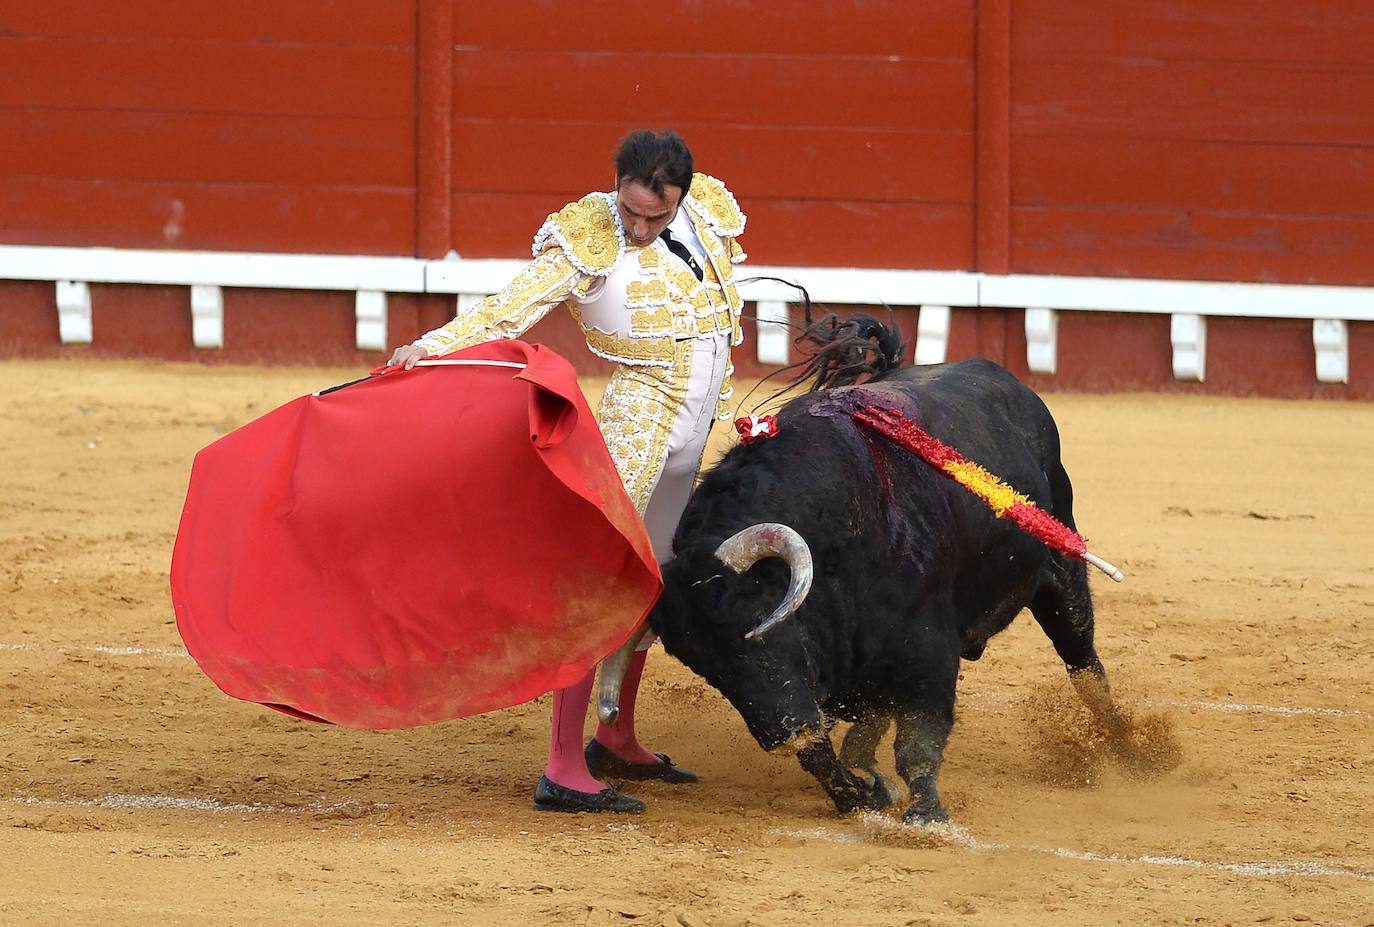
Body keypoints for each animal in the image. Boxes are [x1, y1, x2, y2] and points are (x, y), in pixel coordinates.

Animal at [643, 359, 1126, 824]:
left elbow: (917, 741)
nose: (783, 733)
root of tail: (1015, 387)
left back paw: (1130, 752)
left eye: (759, 621)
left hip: (1062, 573)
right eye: (703, 666)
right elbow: (823, 752)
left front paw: (925, 816)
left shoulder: (927, 652)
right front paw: (863, 796)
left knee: (1085, 667)